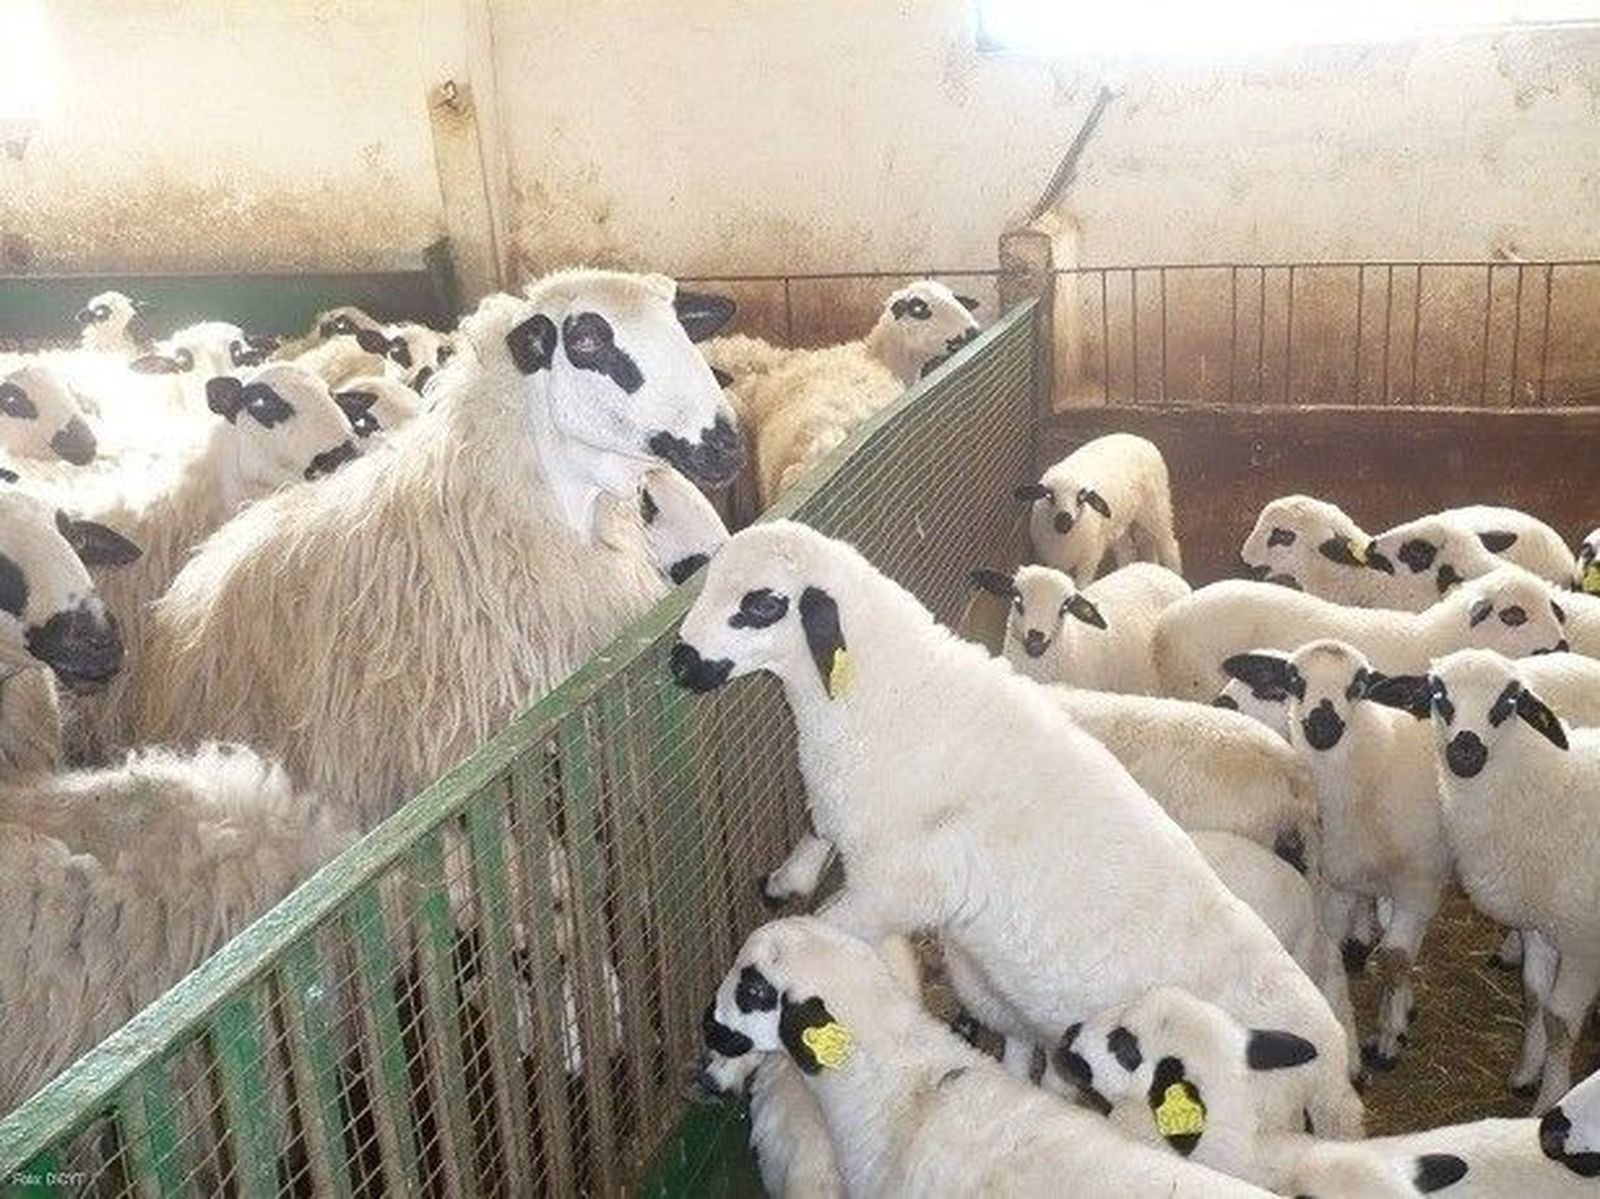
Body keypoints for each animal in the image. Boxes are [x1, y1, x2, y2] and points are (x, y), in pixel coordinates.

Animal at [1014, 433, 1181, 583]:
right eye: (1049, 495)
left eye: (1082, 497)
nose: (1063, 522)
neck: (1064, 539)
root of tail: (1141, 440)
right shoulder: (1055, 563)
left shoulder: (1089, 559)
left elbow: (1082, 586)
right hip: (1119, 522)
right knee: (1130, 550)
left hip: (1157, 508)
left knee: (1169, 544)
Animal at [1153, 565, 1566, 701]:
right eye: (1513, 615)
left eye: (1553, 609)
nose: (1560, 645)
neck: (1433, 639)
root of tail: (1164, 624)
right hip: (1195, 680)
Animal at [1222, 641, 1451, 1069]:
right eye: (1295, 679)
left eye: (1359, 684)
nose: (1322, 726)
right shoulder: (1341, 879)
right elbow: (1335, 943)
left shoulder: (1418, 882)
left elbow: (1394, 960)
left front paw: (1387, 1041)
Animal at [1365, 649, 1600, 1113]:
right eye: (1439, 694)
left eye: (1508, 701)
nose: (1465, 750)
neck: (1549, 790)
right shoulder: (1541, 925)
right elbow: (1534, 997)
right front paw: (1526, 1073)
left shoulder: (1584, 941)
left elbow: (1560, 1021)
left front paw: (1549, 1101)